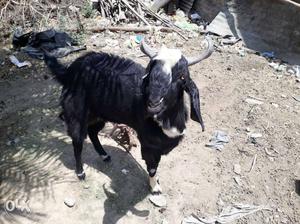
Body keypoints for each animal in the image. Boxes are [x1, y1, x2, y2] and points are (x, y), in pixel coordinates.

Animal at [44, 36, 213, 192]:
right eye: (151, 73)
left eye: (181, 76)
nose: (153, 103)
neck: (167, 119)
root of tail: (69, 71)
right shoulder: (148, 144)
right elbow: (152, 167)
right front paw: (155, 188)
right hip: (76, 114)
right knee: (77, 141)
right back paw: (80, 173)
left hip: (99, 114)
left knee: (92, 132)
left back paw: (104, 155)